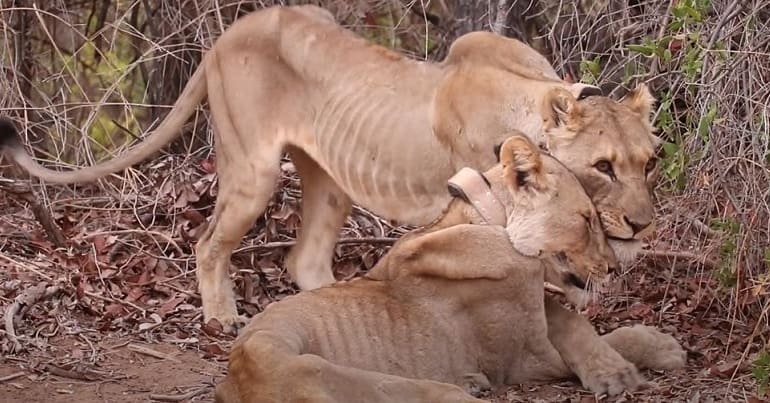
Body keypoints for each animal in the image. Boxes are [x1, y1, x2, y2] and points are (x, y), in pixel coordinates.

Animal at [0, 4, 660, 330]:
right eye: (603, 166)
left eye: (648, 162)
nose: (644, 225)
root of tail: (228, 32)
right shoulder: (474, 199)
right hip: (254, 170)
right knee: (209, 242)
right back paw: (221, 318)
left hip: (330, 180)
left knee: (305, 260)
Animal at [214, 134, 685, 403]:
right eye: (586, 220)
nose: (612, 268)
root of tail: (237, 371)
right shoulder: (523, 359)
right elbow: (579, 323)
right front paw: (620, 366)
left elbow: (593, 327)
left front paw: (659, 345)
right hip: (347, 377)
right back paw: (471, 385)